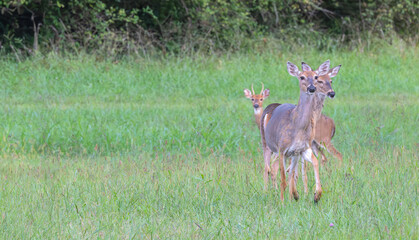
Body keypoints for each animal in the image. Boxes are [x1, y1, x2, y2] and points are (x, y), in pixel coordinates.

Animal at [262, 60, 338, 202]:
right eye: (301, 77)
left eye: (316, 77)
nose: (311, 88)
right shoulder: (282, 149)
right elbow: (286, 178)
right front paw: (283, 201)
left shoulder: (302, 148)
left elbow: (310, 165)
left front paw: (315, 194)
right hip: (267, 144)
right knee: (268, 167)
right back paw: (267, 192)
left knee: (284, 171)